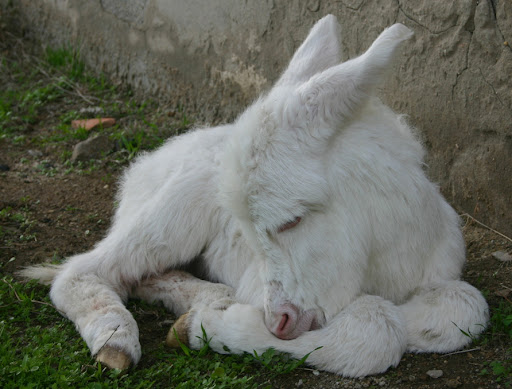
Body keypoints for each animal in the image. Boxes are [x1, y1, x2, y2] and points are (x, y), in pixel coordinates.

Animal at [23, 15, 488, 376]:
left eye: (292, 221)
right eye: (248, 231)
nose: (278, 320)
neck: (381, 260)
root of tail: (147, 165)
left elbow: (464, 308)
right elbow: (376, 326)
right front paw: (203, 328)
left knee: (140, 276)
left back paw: (208, 298)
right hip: (172, 214)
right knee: (82, 272)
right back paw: (118, 341)